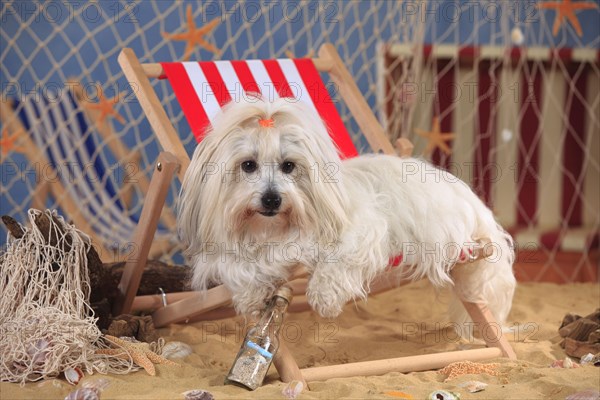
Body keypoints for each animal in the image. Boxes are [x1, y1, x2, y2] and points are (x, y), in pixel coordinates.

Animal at [178, 95, 516, 332]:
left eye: (289, 166)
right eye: (248, 165)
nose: (272, 199)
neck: (272, 232)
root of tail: (473, 202)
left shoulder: (364, 230)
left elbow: (336, 262)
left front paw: (323, 298)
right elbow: (240, 269)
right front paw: (251, 296)